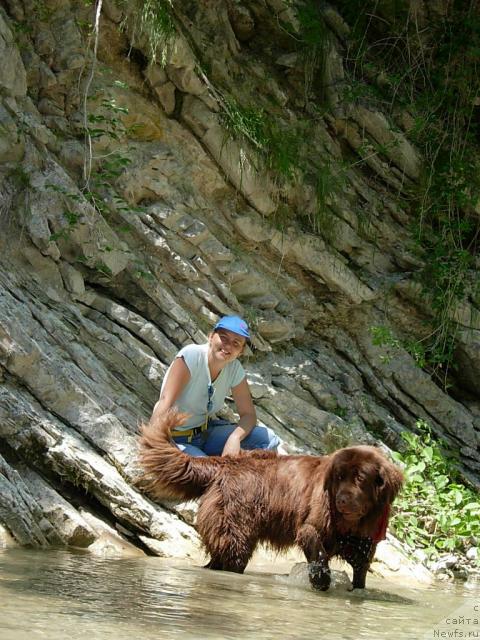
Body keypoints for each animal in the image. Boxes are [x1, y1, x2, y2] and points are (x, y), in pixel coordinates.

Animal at [140, 410, 404, 592]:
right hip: (236, 523)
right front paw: (321, 581)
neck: (351, 524)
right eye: (339, 477)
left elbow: (361, 568)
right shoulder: (313, 525)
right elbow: (316, 549)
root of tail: (226, 462)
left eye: (359, 477)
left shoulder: (365, 539)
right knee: (233, 555)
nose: (342, 501)